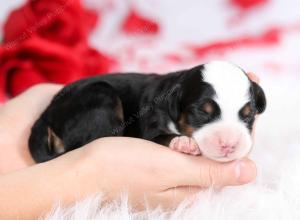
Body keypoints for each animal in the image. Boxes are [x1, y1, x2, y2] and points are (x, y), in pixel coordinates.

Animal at [29, 61, 266, 162]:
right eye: (202, 112)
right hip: (101, 96)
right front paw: (184, 142)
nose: (229, 145)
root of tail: (46, 113)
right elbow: (160, 136)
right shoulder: (150, 127)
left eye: (248, 115)